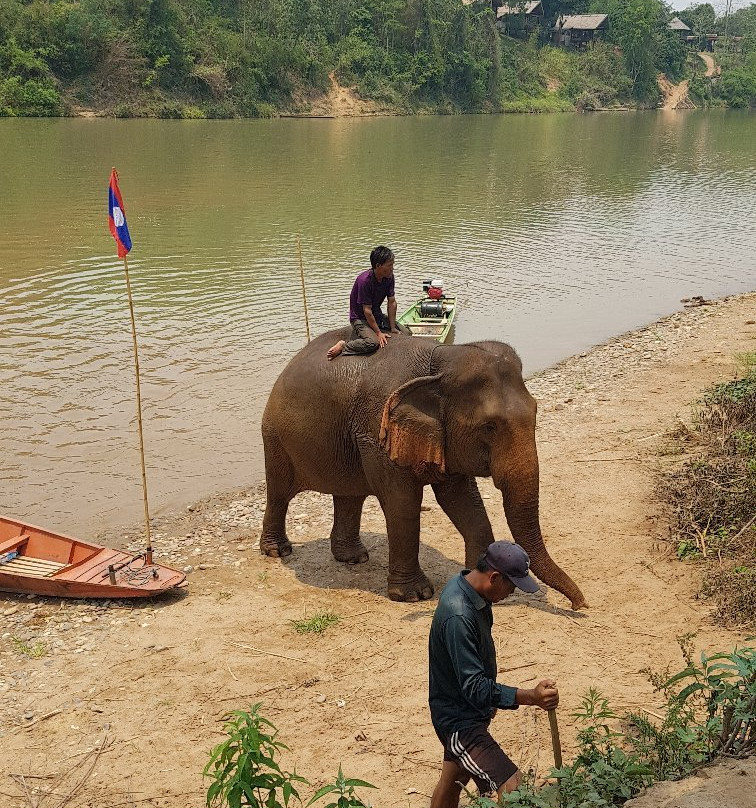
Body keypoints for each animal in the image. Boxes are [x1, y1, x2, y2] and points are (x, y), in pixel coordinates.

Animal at [262, 326, 588, 608]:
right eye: (489, 426)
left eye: (535, 412)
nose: (580, 604)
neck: (438, 361)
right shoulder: (378, 433)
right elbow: (403, 504)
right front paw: (414, 596)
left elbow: (462, 500)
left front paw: (477, 581)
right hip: (274, 436)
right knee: (279, 492)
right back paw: (277, 550)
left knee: (350, 495)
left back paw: (353, 558)